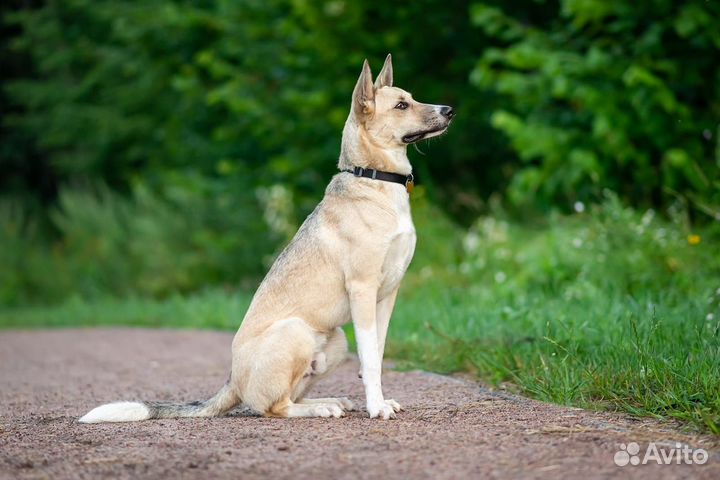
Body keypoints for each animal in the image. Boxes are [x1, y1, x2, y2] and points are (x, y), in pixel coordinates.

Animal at [80, 54, 456, 422]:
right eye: (401, 105)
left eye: (411, 99)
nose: (450, 110)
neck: (373, 179)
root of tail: (232, 382)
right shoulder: (362, 289)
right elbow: (371, 360)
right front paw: (376, 407)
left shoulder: (387, 294)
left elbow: (375, 354)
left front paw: (376, 400)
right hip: (296, 331)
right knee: (273, 407)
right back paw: (319, 408)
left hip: (335, 341)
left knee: (288, 396)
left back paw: (330, 400)